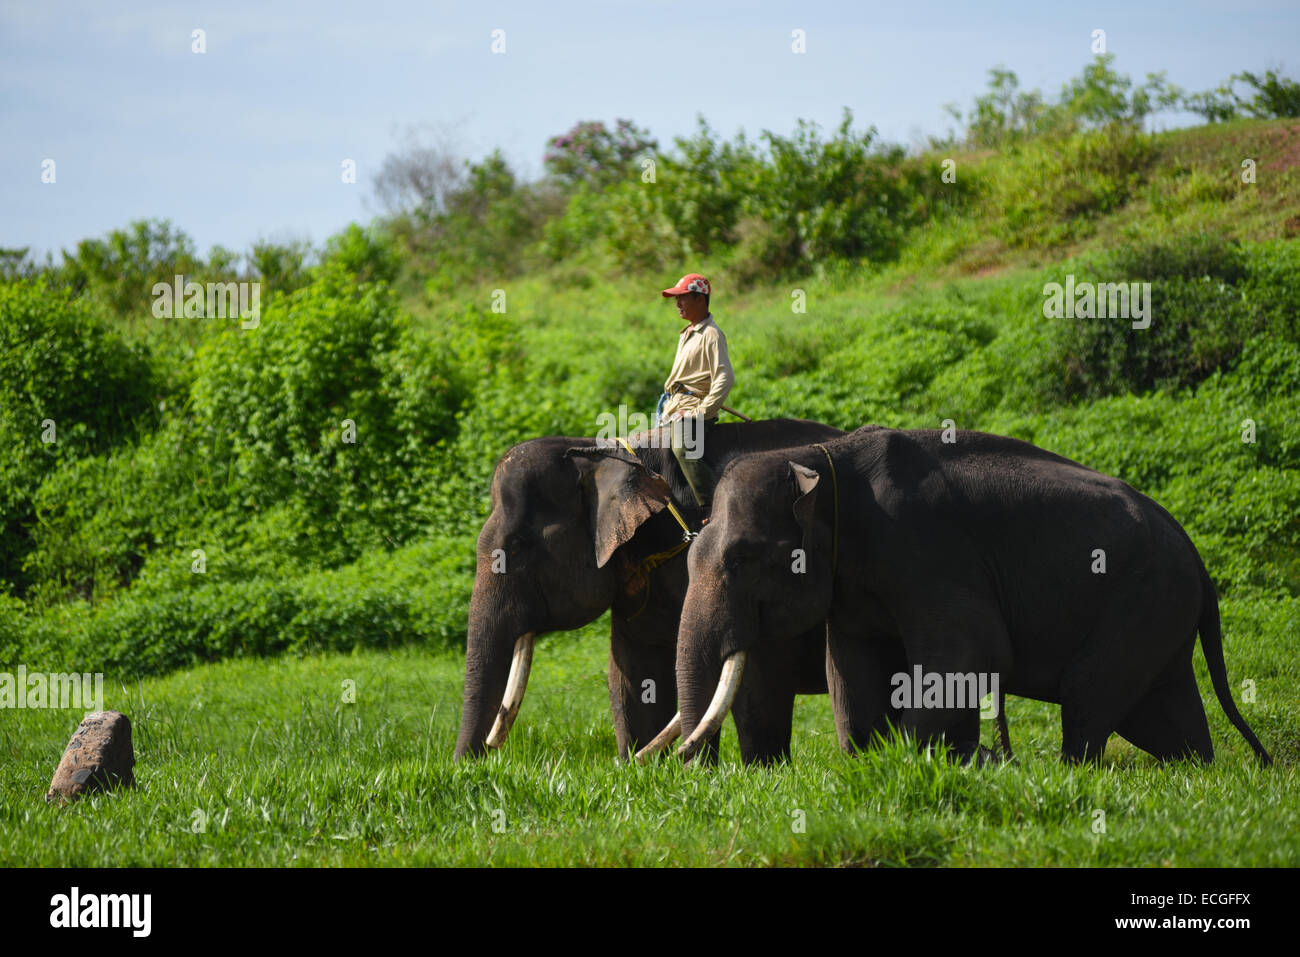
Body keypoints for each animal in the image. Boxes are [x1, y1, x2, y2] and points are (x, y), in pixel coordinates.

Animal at [667, 425, 1272, 767]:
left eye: (741, 559)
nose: (687, 767)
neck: (822, 457)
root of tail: (1197, 557)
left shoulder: (926, 547)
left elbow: (973, 653)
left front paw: (936, 760)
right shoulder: (852, 582)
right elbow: (851, 670)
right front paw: (874, 764)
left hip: (1143, 599)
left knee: (1090, 694)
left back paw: (1077, 773)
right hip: (1162, 615)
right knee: (1165, 718)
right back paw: (1197, 771)